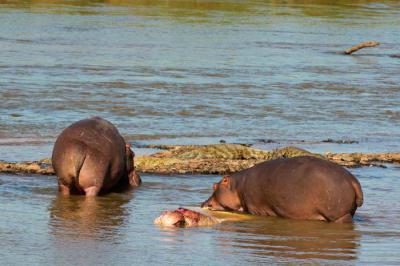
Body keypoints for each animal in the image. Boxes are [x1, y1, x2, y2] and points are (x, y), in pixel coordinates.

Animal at [202, 155, 364, 223]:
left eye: (214, 186)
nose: (203, 203)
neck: (237, 186)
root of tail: (352, 180)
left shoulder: (254, 206)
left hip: (339, 215)